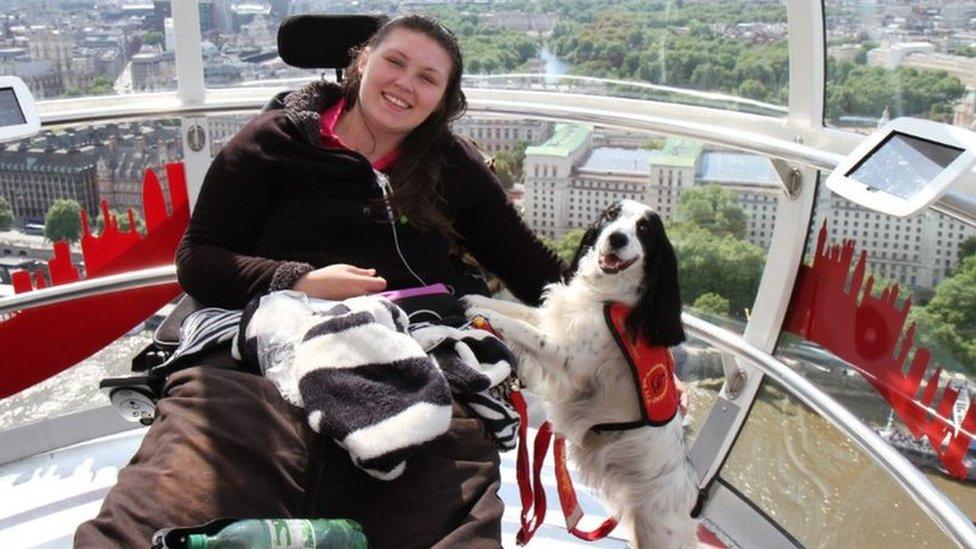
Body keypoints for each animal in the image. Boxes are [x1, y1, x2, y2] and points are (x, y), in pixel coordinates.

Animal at [462, 199, 696, 544]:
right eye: (611, 215)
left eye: (644, 229)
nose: (616, 238)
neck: (604, 295)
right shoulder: (554, 321)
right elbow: (521, 312)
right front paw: (476, 299)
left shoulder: (568, 359)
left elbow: (522, 328)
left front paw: (484, 312)